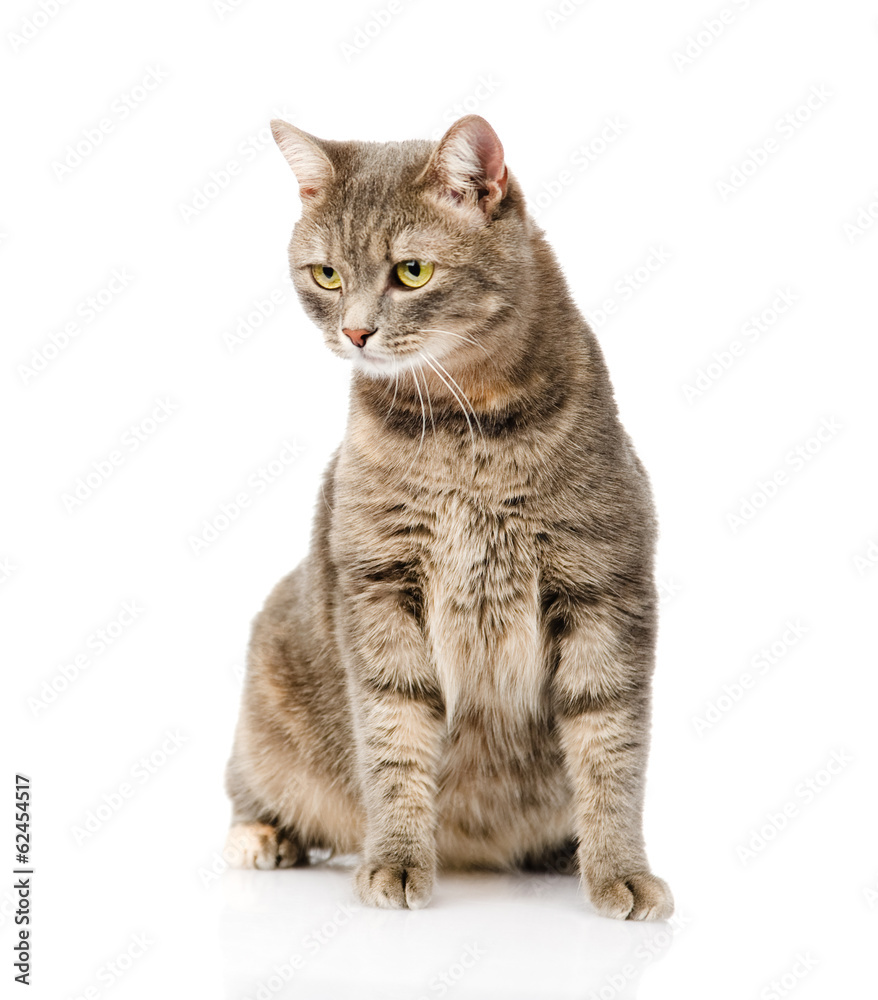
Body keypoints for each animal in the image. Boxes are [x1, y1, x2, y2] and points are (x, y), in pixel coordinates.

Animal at [225, 113, 672, 916]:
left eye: (411, 272)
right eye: (327, 275)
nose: (356, 333)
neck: (467, 424)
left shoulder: (604, 585)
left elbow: (610, 750)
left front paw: (618, 868)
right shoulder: (378, 584)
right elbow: (393, 738)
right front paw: (398, 858)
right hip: (266, 685)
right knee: (251, 789)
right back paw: (263, 835)